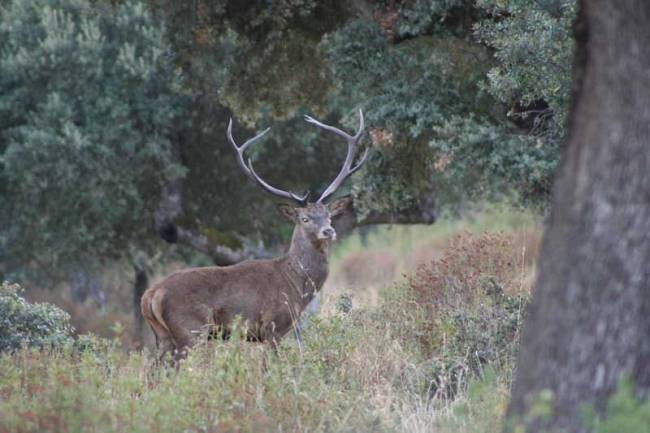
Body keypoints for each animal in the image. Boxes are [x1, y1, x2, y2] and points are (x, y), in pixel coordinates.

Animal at [141, 110, 367, 363]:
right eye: (305, 218)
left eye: (328, 216)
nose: (329, 231)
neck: (295, 284)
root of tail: (151, 294)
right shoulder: (273, 325)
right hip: (190, 331)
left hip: (163, 337)